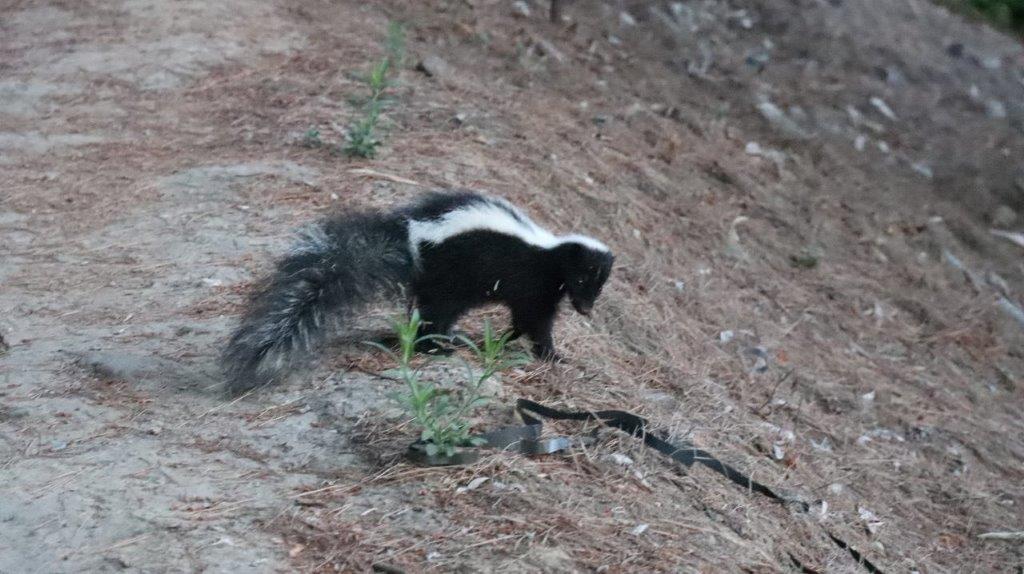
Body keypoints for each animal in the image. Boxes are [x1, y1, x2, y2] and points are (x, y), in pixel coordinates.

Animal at [221, 190, 610, 390]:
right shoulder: (533, 283)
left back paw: (448, 339)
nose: (587, 309)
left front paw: (508, 342)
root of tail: (411, 237)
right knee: (435, 315)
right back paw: (437, 347)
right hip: (451, 278)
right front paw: (550, 354)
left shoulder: (538, 288)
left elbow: (524, 319)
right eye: (582, 279)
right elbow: (535, 320)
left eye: (598, 287)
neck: (550, 253)